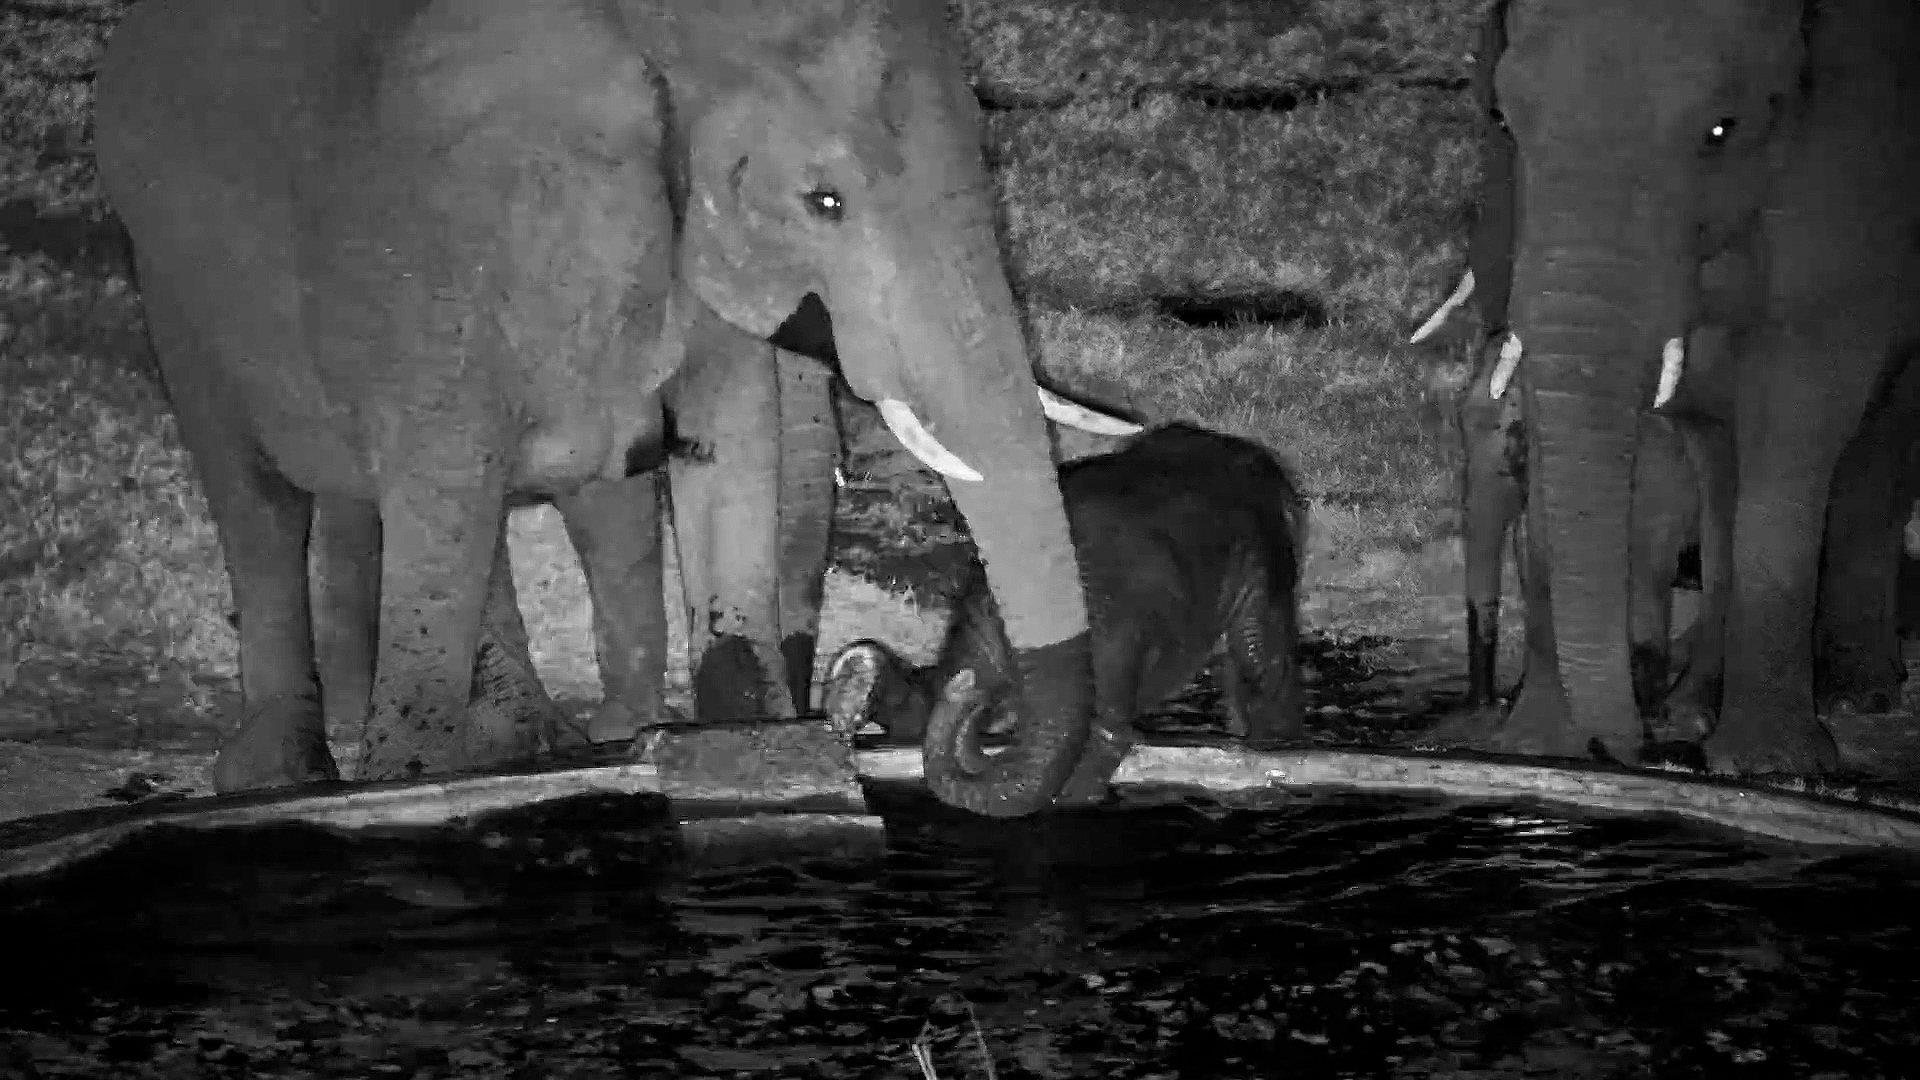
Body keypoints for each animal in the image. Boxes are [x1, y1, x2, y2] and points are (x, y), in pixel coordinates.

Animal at [96, 0, 1141, 815]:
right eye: (825, 202)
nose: (967, 701)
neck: (656, 27)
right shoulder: (438, 236)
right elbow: (444, 487)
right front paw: (413, 780)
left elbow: (730, 449)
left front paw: (745, 746)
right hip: (175, 277)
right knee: (262, 496)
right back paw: (293, 776)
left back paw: (536, 742)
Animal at [825, 423, 1308, 803]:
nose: (972, 695)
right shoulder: (981, 613)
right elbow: (925, 711)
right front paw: (855, 687)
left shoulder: (1115, 639)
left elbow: (1101, 737)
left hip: (1262, 558)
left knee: (1259, 656)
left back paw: (1271, 742)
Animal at [1476, 0, 1920, 773]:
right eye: (1502, 121)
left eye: (1721, 130)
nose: (1627, 745)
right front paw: (1538, 746)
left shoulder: (1855, 171)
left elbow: (1800, 407)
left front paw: (1774, 765)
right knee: (1719, 465)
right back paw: (1698, 702)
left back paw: (1856, 692)